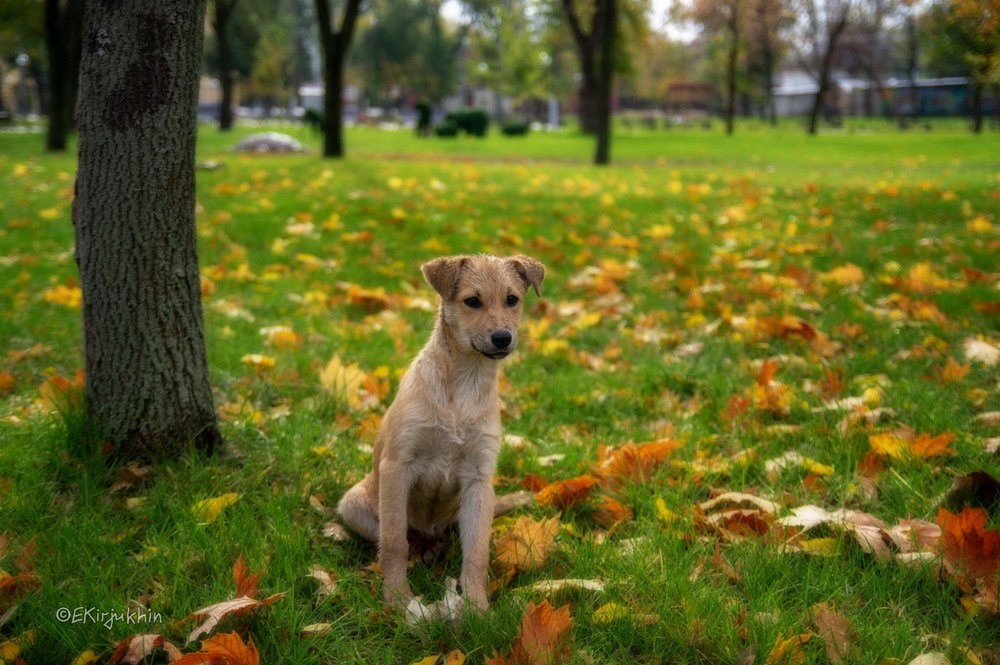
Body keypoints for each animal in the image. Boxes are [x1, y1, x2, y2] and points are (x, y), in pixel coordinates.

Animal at [336, 255, 544, 612]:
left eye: (512, 299)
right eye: (472, 301)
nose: (502, 337)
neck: (464, 385)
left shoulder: (479, 477)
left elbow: (476, 552)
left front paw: (478, 610)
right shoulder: (397, 466)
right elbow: (394, 543)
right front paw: (398, 601)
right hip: (354, 503)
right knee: (401, 538)